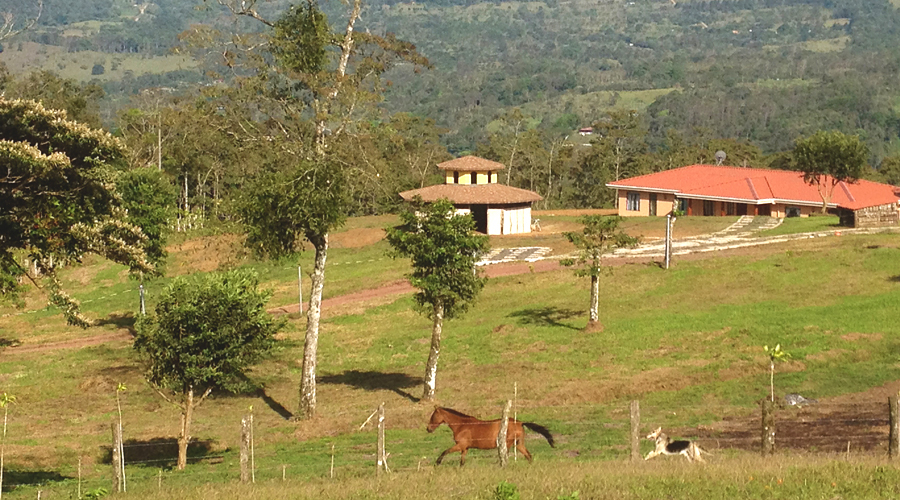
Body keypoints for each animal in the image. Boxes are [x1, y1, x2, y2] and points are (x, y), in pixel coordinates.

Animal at [424, 406, 552, 464]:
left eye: (433, 416)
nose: (428, 429)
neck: (462, 425)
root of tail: (520, 422)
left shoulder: (460, 445)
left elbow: (445, 451)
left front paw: (437, 463)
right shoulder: (465, 448)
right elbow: (462, 462)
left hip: (507, 444)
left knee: (506, 456)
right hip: (519, 444)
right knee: (528, 455)